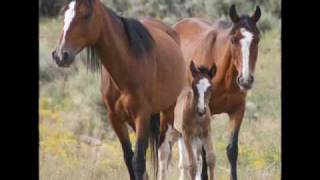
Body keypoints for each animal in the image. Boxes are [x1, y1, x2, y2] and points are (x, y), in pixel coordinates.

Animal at [50, 0, 188, 179]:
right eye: (65, 15)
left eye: (86, 15)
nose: (60, 55)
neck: (127, 66)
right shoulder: (115, 119)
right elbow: (129, 158)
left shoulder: (142, 115)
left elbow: (138, 161)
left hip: (168, 111)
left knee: (163, 152)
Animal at [171, 4, 262, 179]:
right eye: (233, 39)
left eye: (257, 39)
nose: (245, 80)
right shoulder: (205, 113)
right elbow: (203, 153)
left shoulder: (238, 110)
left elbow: (232, 150)